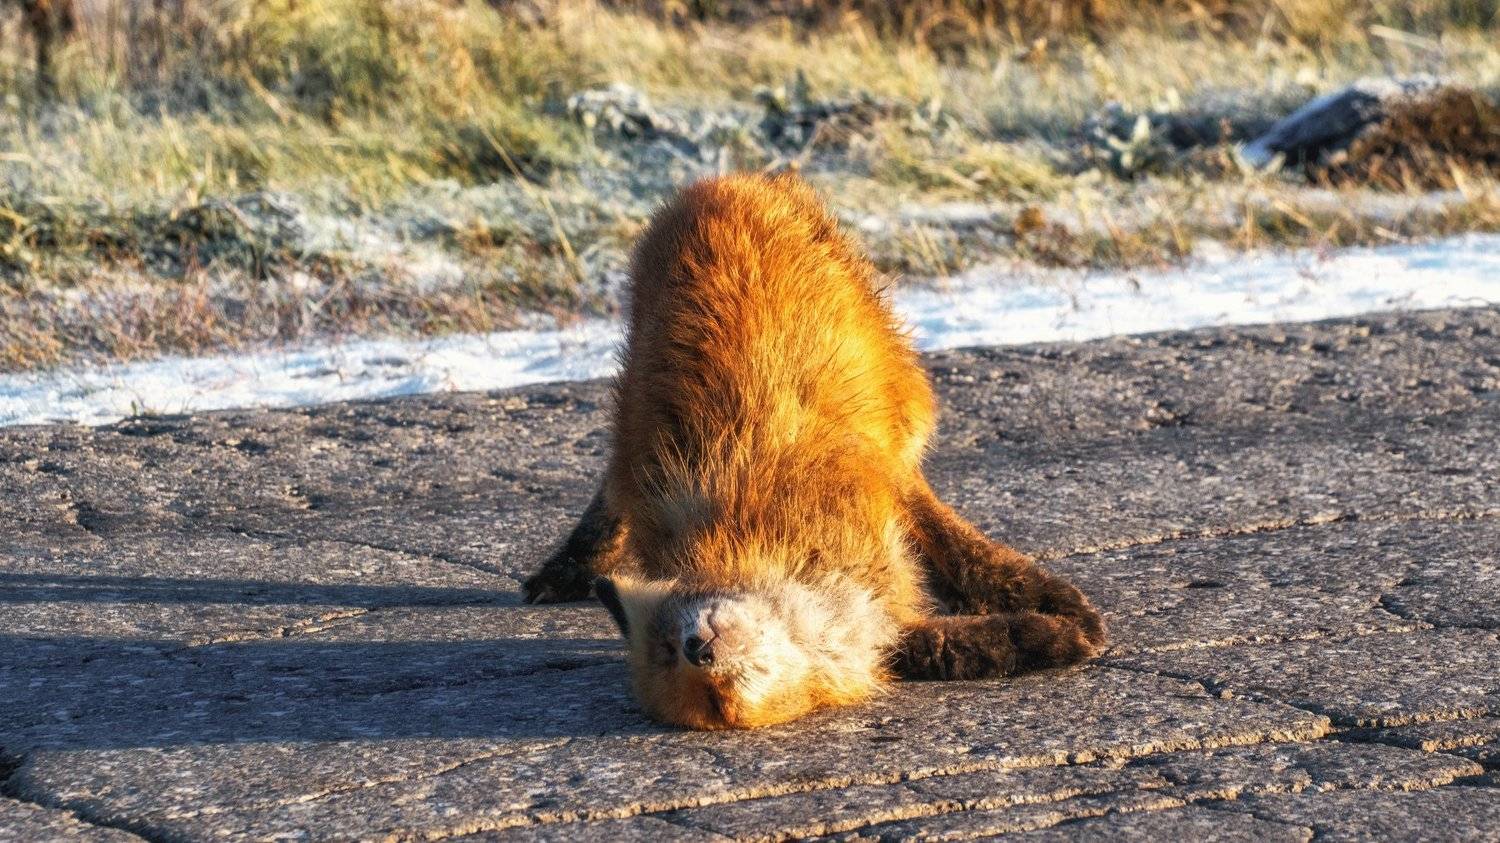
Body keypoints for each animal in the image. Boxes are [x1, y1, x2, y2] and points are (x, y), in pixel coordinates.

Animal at [523, 173, 1105, 729]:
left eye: (673, 645)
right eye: (714, 703)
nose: (699, 649)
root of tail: (716, 182)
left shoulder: (873, 479)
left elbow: (951, 540)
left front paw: (1051, 603)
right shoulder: (880, 626)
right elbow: (948, 648)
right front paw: (1043, 636)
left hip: (900, 390)